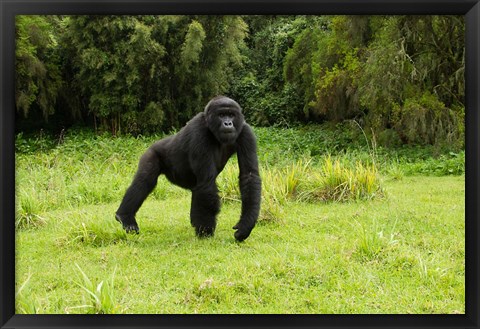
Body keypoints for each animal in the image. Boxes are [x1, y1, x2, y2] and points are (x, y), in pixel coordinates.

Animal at [114, 95, 260, 241]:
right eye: (222, 115)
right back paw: (125, 216)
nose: (228, 123)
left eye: (231, 115)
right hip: (151, 153)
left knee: (196, 190)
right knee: (145, 180)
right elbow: (207, 181)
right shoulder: (199, 131)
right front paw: (206, 231)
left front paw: (246, 224)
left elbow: (249, 175)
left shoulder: (246, 132)